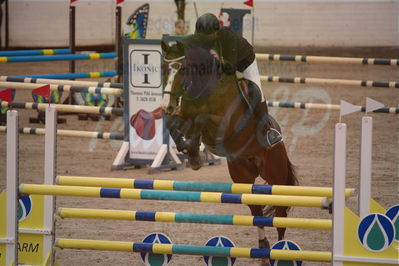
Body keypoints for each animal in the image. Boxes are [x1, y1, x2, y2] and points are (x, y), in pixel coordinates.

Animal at [161, 38, 298, 258]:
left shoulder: (224, 124)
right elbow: (172, 123)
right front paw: (191, 153)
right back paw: (263, 248)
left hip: (275, 174)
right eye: (163, 68)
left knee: (280, 215)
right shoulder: (183, 115)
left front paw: (194, 152)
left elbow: (202, 119)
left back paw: (280, 250)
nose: (167, 105)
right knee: (256, 210)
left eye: (182, 68)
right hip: (242, 176)